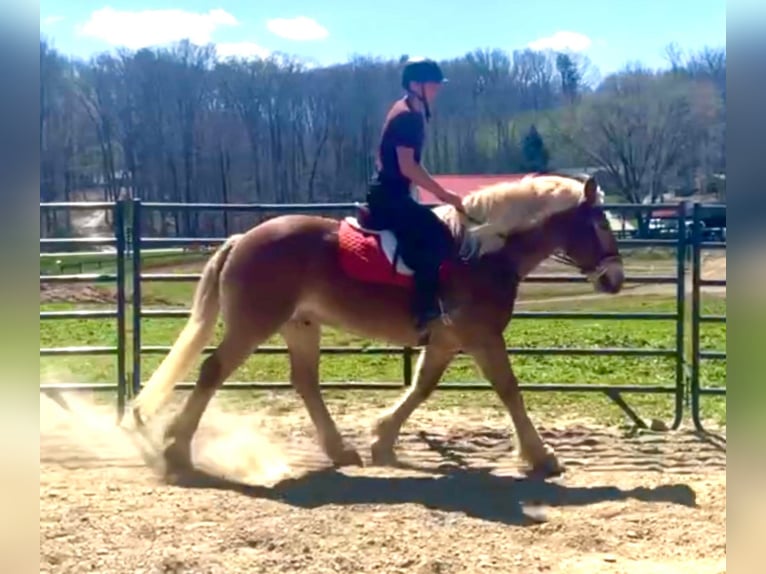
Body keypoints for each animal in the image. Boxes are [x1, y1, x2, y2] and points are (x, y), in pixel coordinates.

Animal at [126, 173, 628, 480]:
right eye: (600, 224)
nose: (615, 279)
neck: (482, 253)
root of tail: (243, 238)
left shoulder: (447, 339)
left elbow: (422, 387)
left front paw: (382, 440)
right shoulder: (481, 337)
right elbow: (509, 390)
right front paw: (541, 457)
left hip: (300, 325)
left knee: (305, 382)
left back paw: (340, 451)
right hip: (254, 325)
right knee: (213, 372)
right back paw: (176, 452)